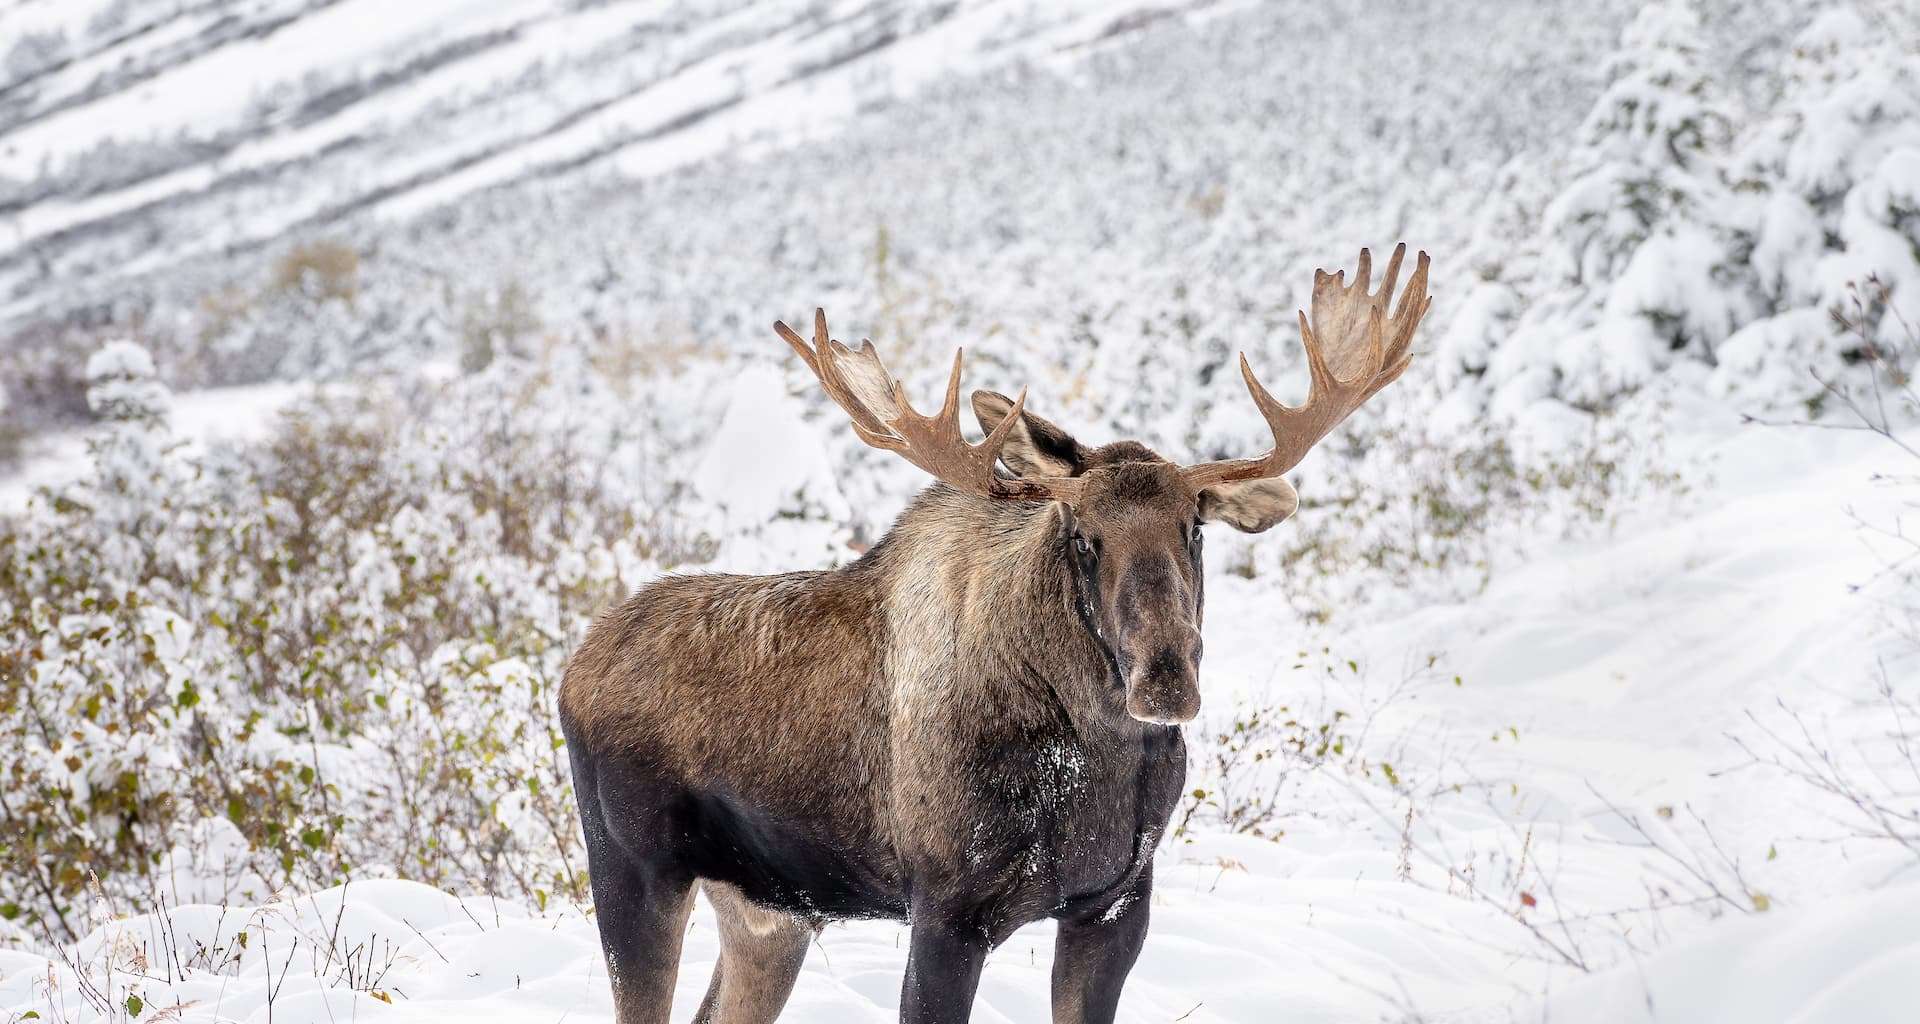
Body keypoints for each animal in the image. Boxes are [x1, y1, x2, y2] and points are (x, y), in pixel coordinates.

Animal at [558, 244, 1432, 1024]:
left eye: (1194, 527)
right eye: (1082, 536)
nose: (1165, 677)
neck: (1099, 759)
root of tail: (573, 667)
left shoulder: (1116, 903)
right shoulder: (947, 911)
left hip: (768, 912)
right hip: (632, 870)